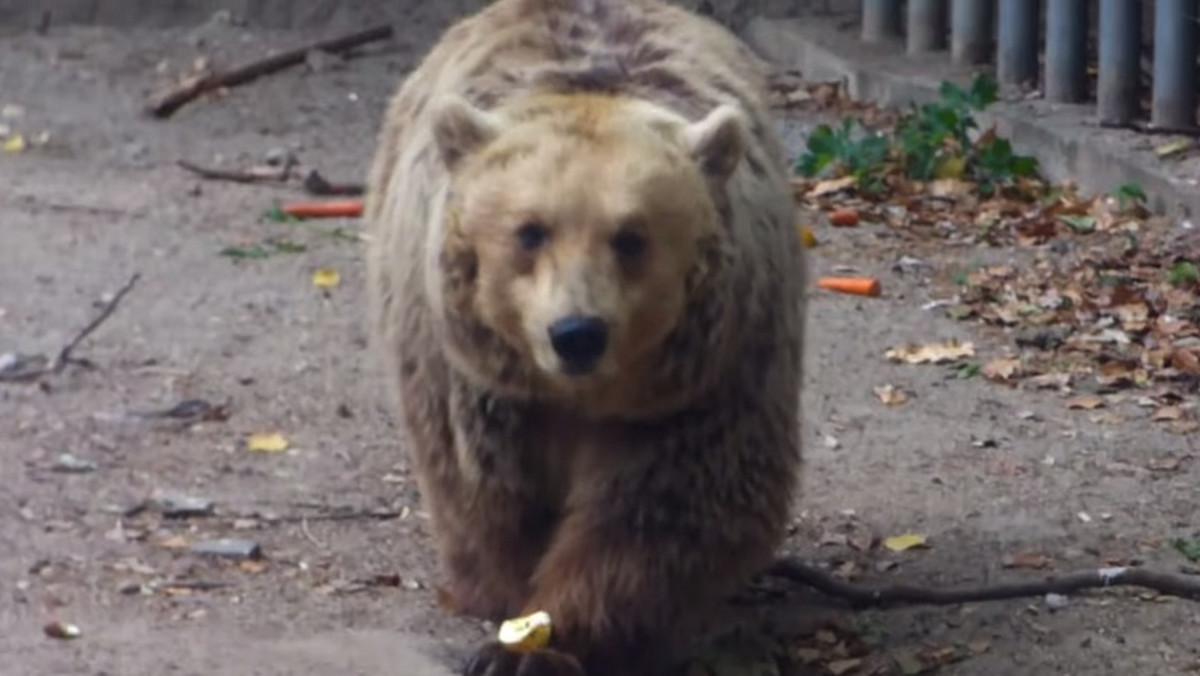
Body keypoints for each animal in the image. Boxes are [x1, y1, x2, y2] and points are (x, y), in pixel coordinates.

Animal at [362, 0, 806, 672]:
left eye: (631, 237)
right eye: (530, 231)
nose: (577, 333)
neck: (583, 394)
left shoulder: (703, 379)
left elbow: (661, 509)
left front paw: (547, 641)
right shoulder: (481, 383)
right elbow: (492, 493)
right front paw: (509, 625)